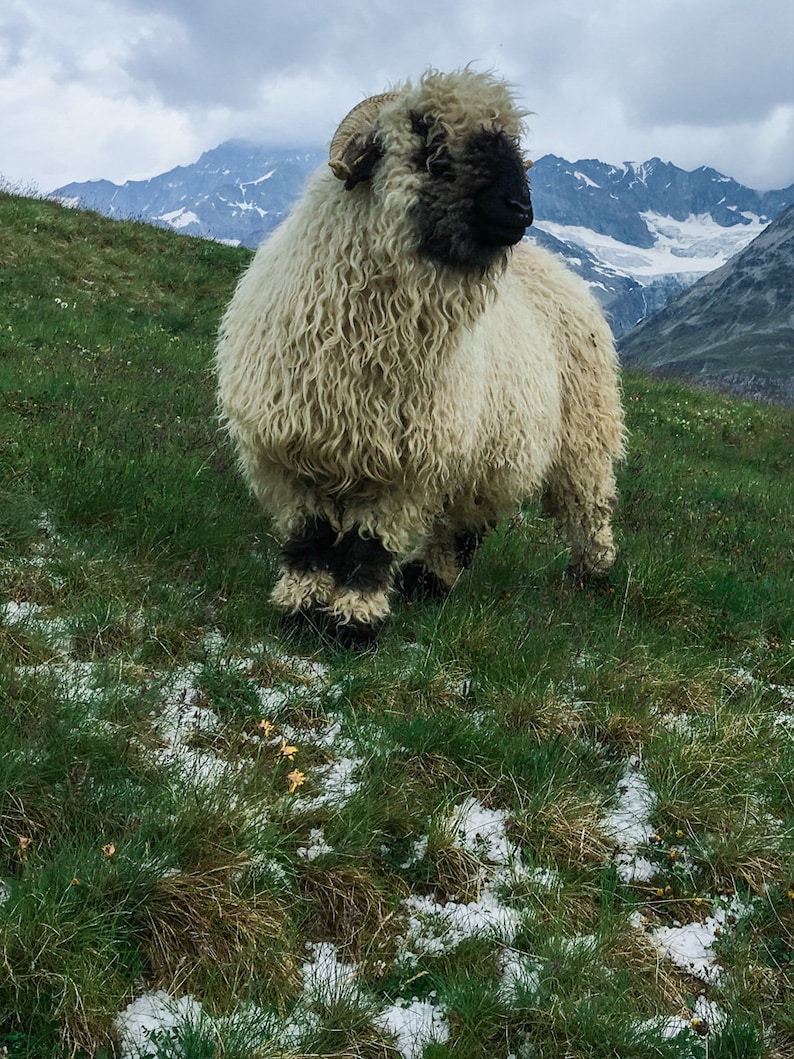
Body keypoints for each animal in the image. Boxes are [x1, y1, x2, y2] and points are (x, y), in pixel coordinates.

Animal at [215, 68, 625, 644]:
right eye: (433, 150)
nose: (521, 211)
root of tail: (553, 264)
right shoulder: (289, 450)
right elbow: (309, 538)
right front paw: (301, 609)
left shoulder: (408, 466)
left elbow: (367, 547)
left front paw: (353, 621)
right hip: (490, 450)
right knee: (464, 521)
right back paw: (431, 580)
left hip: (581, 437)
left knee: (584, 505)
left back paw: (590, 575)